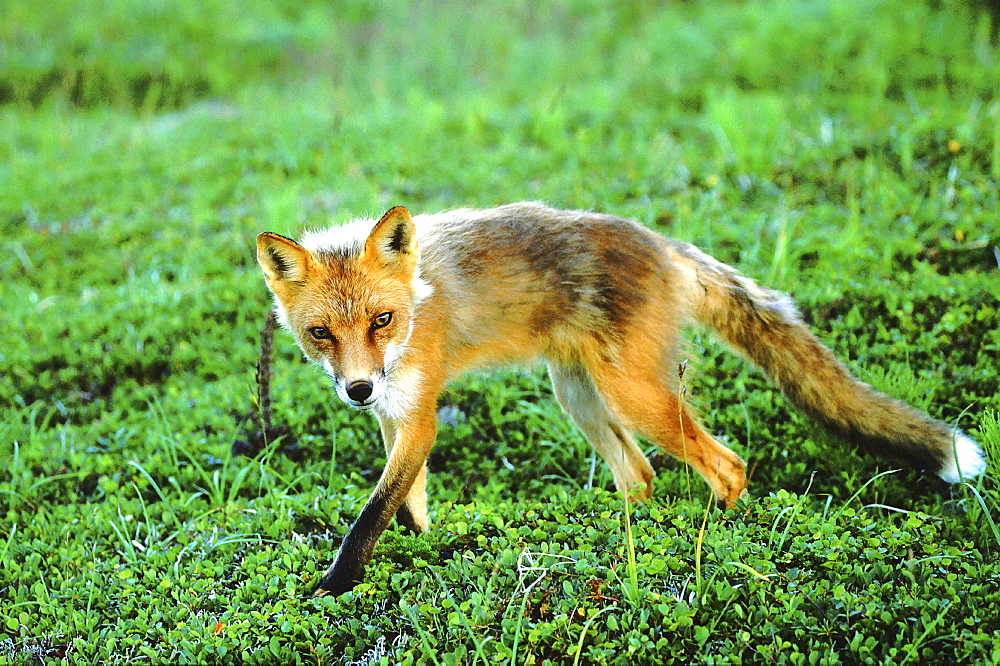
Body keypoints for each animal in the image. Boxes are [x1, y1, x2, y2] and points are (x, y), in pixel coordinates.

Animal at [256, 201, 984, 592]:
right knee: (639, 477)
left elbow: (371, 514)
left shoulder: (420, 414)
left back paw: (713, 536)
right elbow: (406, 504)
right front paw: (422, 549)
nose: (356, 387)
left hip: (635, 398)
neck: (416, 304)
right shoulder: (391, 415)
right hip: (578, 395)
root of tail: (661, 241)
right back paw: (617, 534)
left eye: (381, 321)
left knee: (727, 465)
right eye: (321, 333)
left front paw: (334, 587)